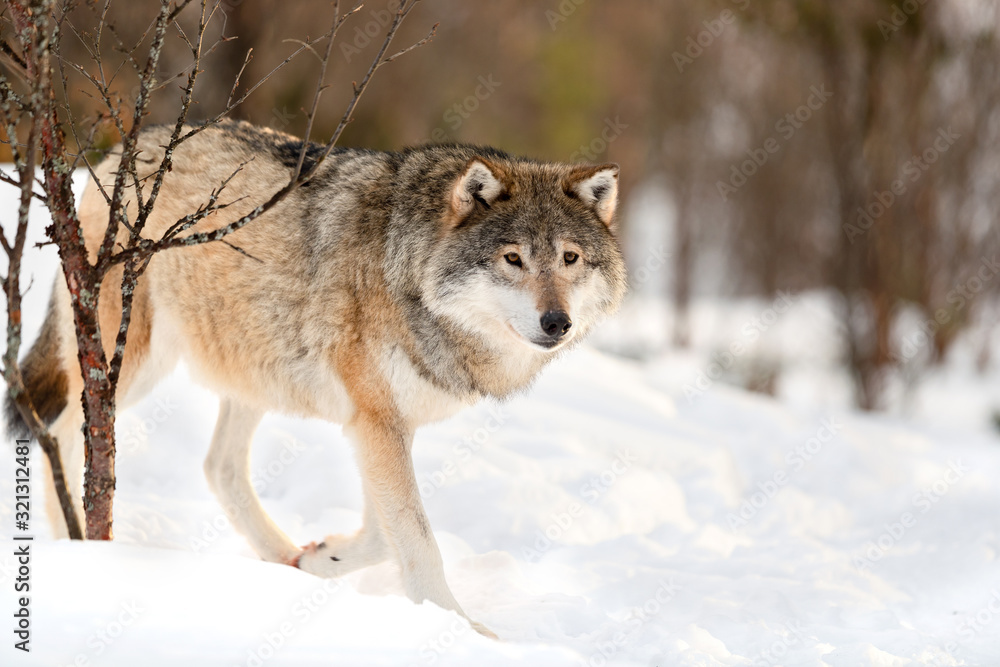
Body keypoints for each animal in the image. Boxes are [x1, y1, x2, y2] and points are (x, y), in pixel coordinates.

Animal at [7, 120, 624, 636]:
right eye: (513, 259)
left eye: (569, 258)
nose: (557, 322)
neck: (407, 272)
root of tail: (127, 147)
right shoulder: (375, 422)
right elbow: (417, 540)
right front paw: (464, 630)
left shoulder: (381, 423)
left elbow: (384, 535)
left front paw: (322, 558)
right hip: (127, 365)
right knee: (61, 436)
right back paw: (82, 549)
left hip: (252, 374)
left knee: (218, 467)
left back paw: (282, 560)